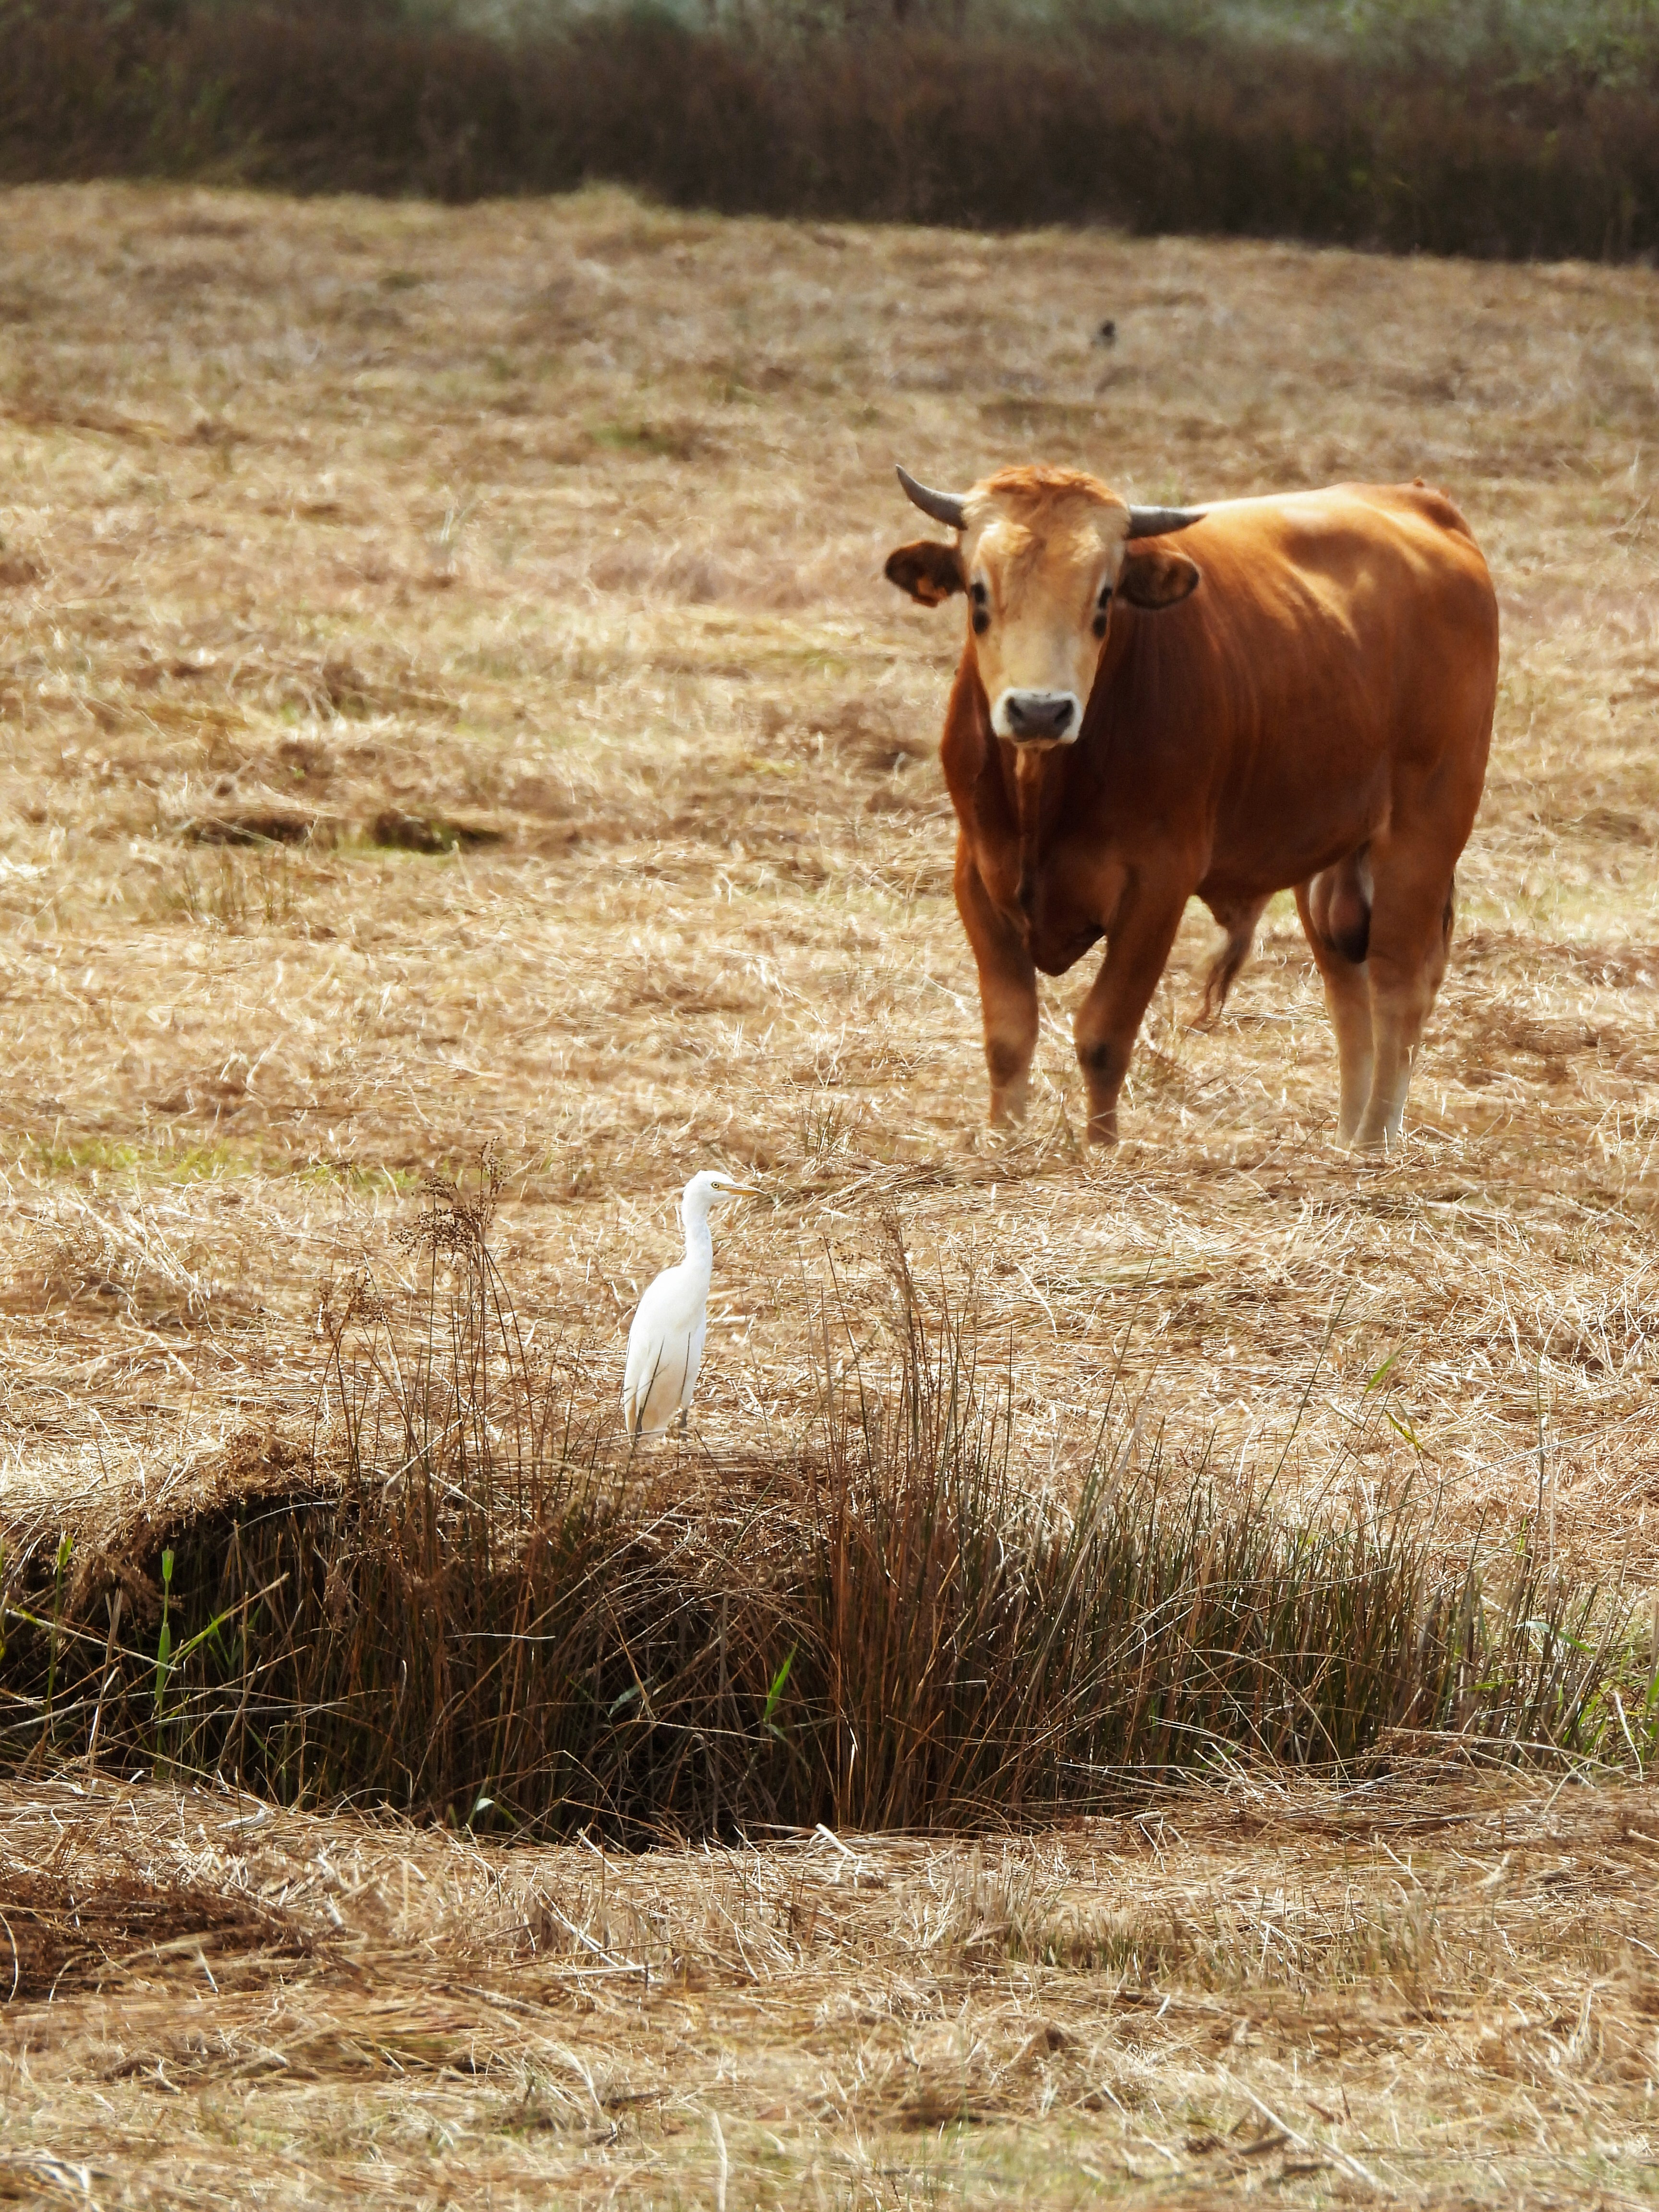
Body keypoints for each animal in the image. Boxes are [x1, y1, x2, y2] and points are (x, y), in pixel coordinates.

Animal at [884, 463, 1499, 1150]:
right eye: (978, 594)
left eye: (1104, 601)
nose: (1040, 711)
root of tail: (1420, 501)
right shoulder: (978, 874)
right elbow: (1009, 1037)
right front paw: (1006, 1141)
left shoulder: (1157, 885)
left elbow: (1104, 1035)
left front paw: (1100, 1150)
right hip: (1331, 854)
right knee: (1348, 990)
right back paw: (1345, 1138)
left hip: (1424, 835)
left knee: (1399, 984)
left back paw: (1372, 1143)